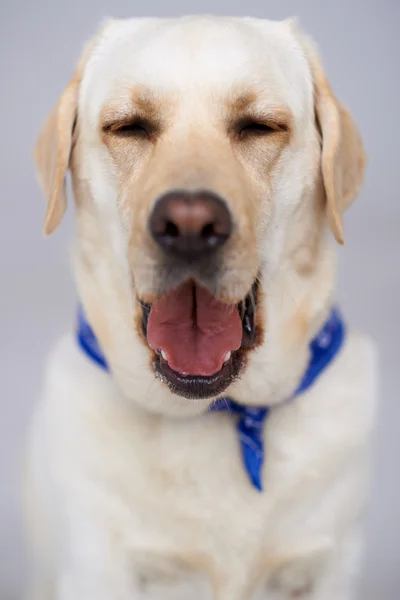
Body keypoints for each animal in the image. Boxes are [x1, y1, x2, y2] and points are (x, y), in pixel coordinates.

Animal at [25, 14, 378, 600]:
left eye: (259, 126)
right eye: (129, 127)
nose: (189, 224)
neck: (213, 411)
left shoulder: (333, 565)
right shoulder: (99, 567)